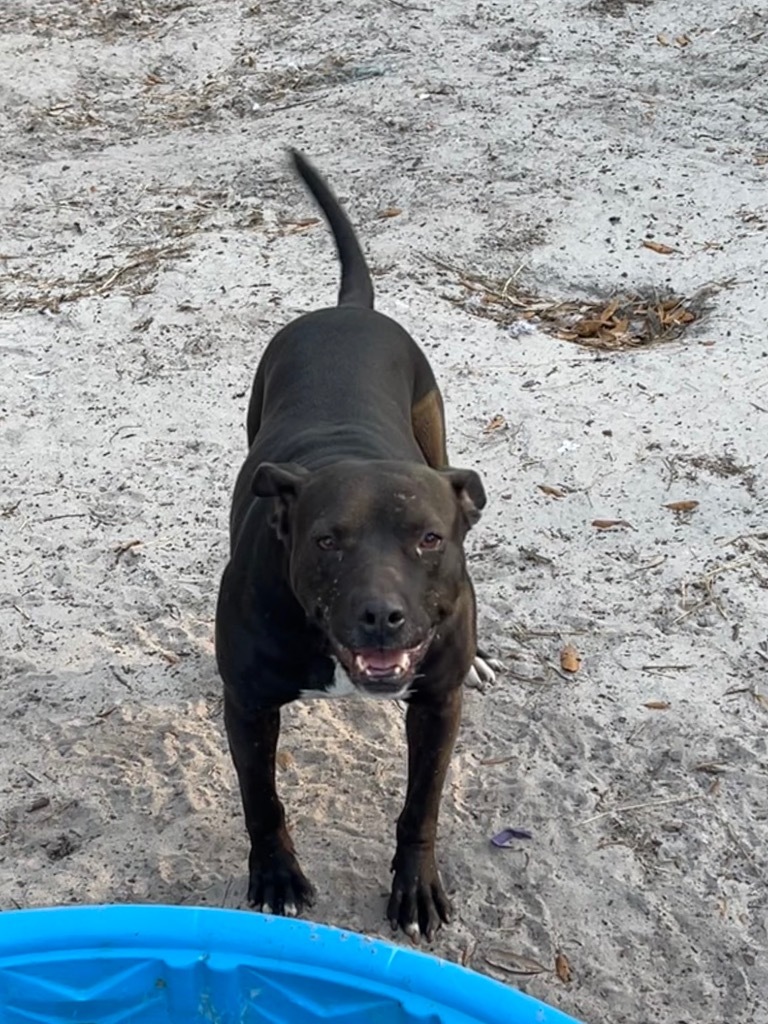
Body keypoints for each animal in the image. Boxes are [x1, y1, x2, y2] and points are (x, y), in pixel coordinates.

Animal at [217, 148, 495, 937]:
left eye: (429, 539)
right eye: (325, 541)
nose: (380, 615)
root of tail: (350, 311)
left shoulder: (437, 705)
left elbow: (421, 807)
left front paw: (416, 887)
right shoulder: (249, 707)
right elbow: (262, 802)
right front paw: (276, 876)